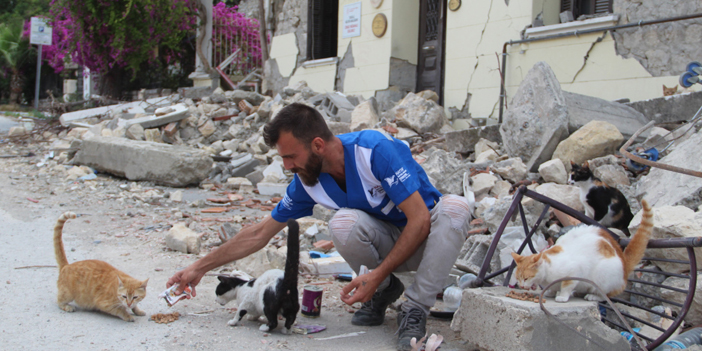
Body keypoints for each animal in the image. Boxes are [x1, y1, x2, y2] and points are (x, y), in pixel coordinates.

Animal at [512, 201, 656, 302]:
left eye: (526, 278)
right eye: (518, 278)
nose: (522, 286)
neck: (547, 272)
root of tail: (624, 263)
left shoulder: (574, 272)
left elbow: (566, 286)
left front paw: (562, 297)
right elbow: (553, 287)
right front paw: (551, 292)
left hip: (603, 276)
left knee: (607, 295)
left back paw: (593, 296)